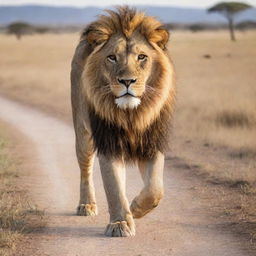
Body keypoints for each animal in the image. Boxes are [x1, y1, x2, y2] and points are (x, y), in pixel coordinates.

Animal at [70, 6, 176, 238]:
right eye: (112, 57)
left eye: (142, 57)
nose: (127, 81)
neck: (131, 115)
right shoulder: (108, 143)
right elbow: (113, 187)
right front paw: (120, 223)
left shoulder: (151, 142)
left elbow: (155, 189)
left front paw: (135, 209)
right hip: (83, 133)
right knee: (85, 169)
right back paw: (86, 204)